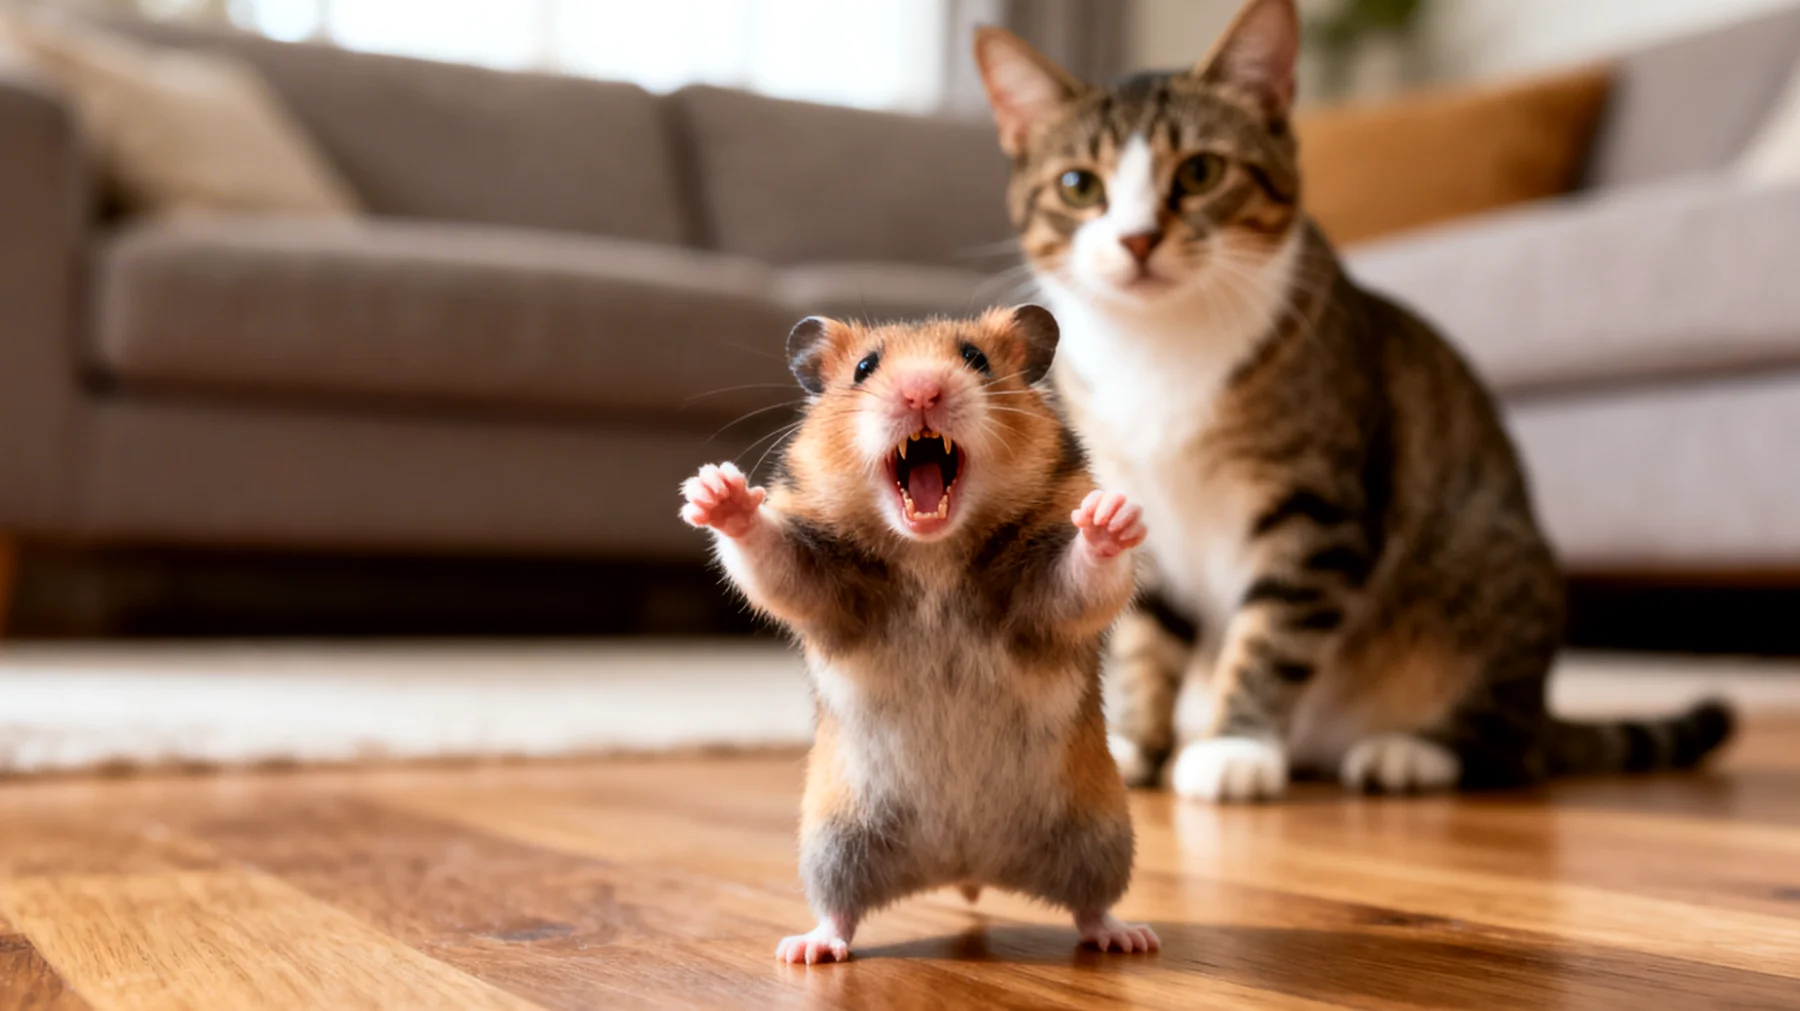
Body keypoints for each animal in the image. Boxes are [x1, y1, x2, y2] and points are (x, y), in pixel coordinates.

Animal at [680, 306, 1160, 963]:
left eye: (976, 359)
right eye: (864, 368)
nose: (922, 391)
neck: (931, 551)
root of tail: (966, 865)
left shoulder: (1045, 598)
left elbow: (1084, 575)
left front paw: (1112, 516)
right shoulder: (822, 587)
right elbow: (771, 559)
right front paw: (715, 491)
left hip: (1101, 832)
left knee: (1092, 904)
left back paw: (1129, 938)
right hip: (835, 842)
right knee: (838, 909)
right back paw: (807, 950)